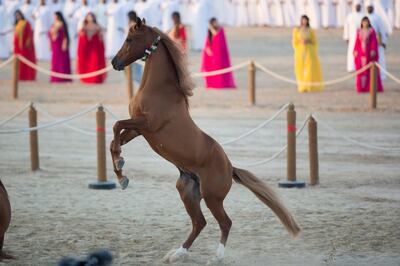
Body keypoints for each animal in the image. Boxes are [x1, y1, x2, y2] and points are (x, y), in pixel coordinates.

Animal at [109, 18, 300, 262]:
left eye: (130, 39)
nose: (114, 62)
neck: (158, 90)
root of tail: (230, 168)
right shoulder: (139, 130)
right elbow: (115, 139)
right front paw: (121, 174)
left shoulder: (147, 125)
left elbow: (116, 126)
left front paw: (120, 168)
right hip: (188, 192)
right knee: (200, 223)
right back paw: (176, 254)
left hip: (212, 197)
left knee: (225, 222)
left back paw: (215, 257)